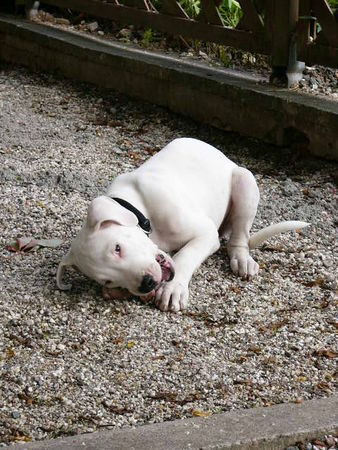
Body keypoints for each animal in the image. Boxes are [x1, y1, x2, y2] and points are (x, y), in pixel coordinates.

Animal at [56, 139, 308, 312]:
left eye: (117, 248)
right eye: (106, 280)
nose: (146, 284)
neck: (140, 209)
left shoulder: (206, 233)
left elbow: (185, 255)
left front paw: (172, 289)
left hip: (244, 182)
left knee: (239, 237)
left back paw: (242, 259)